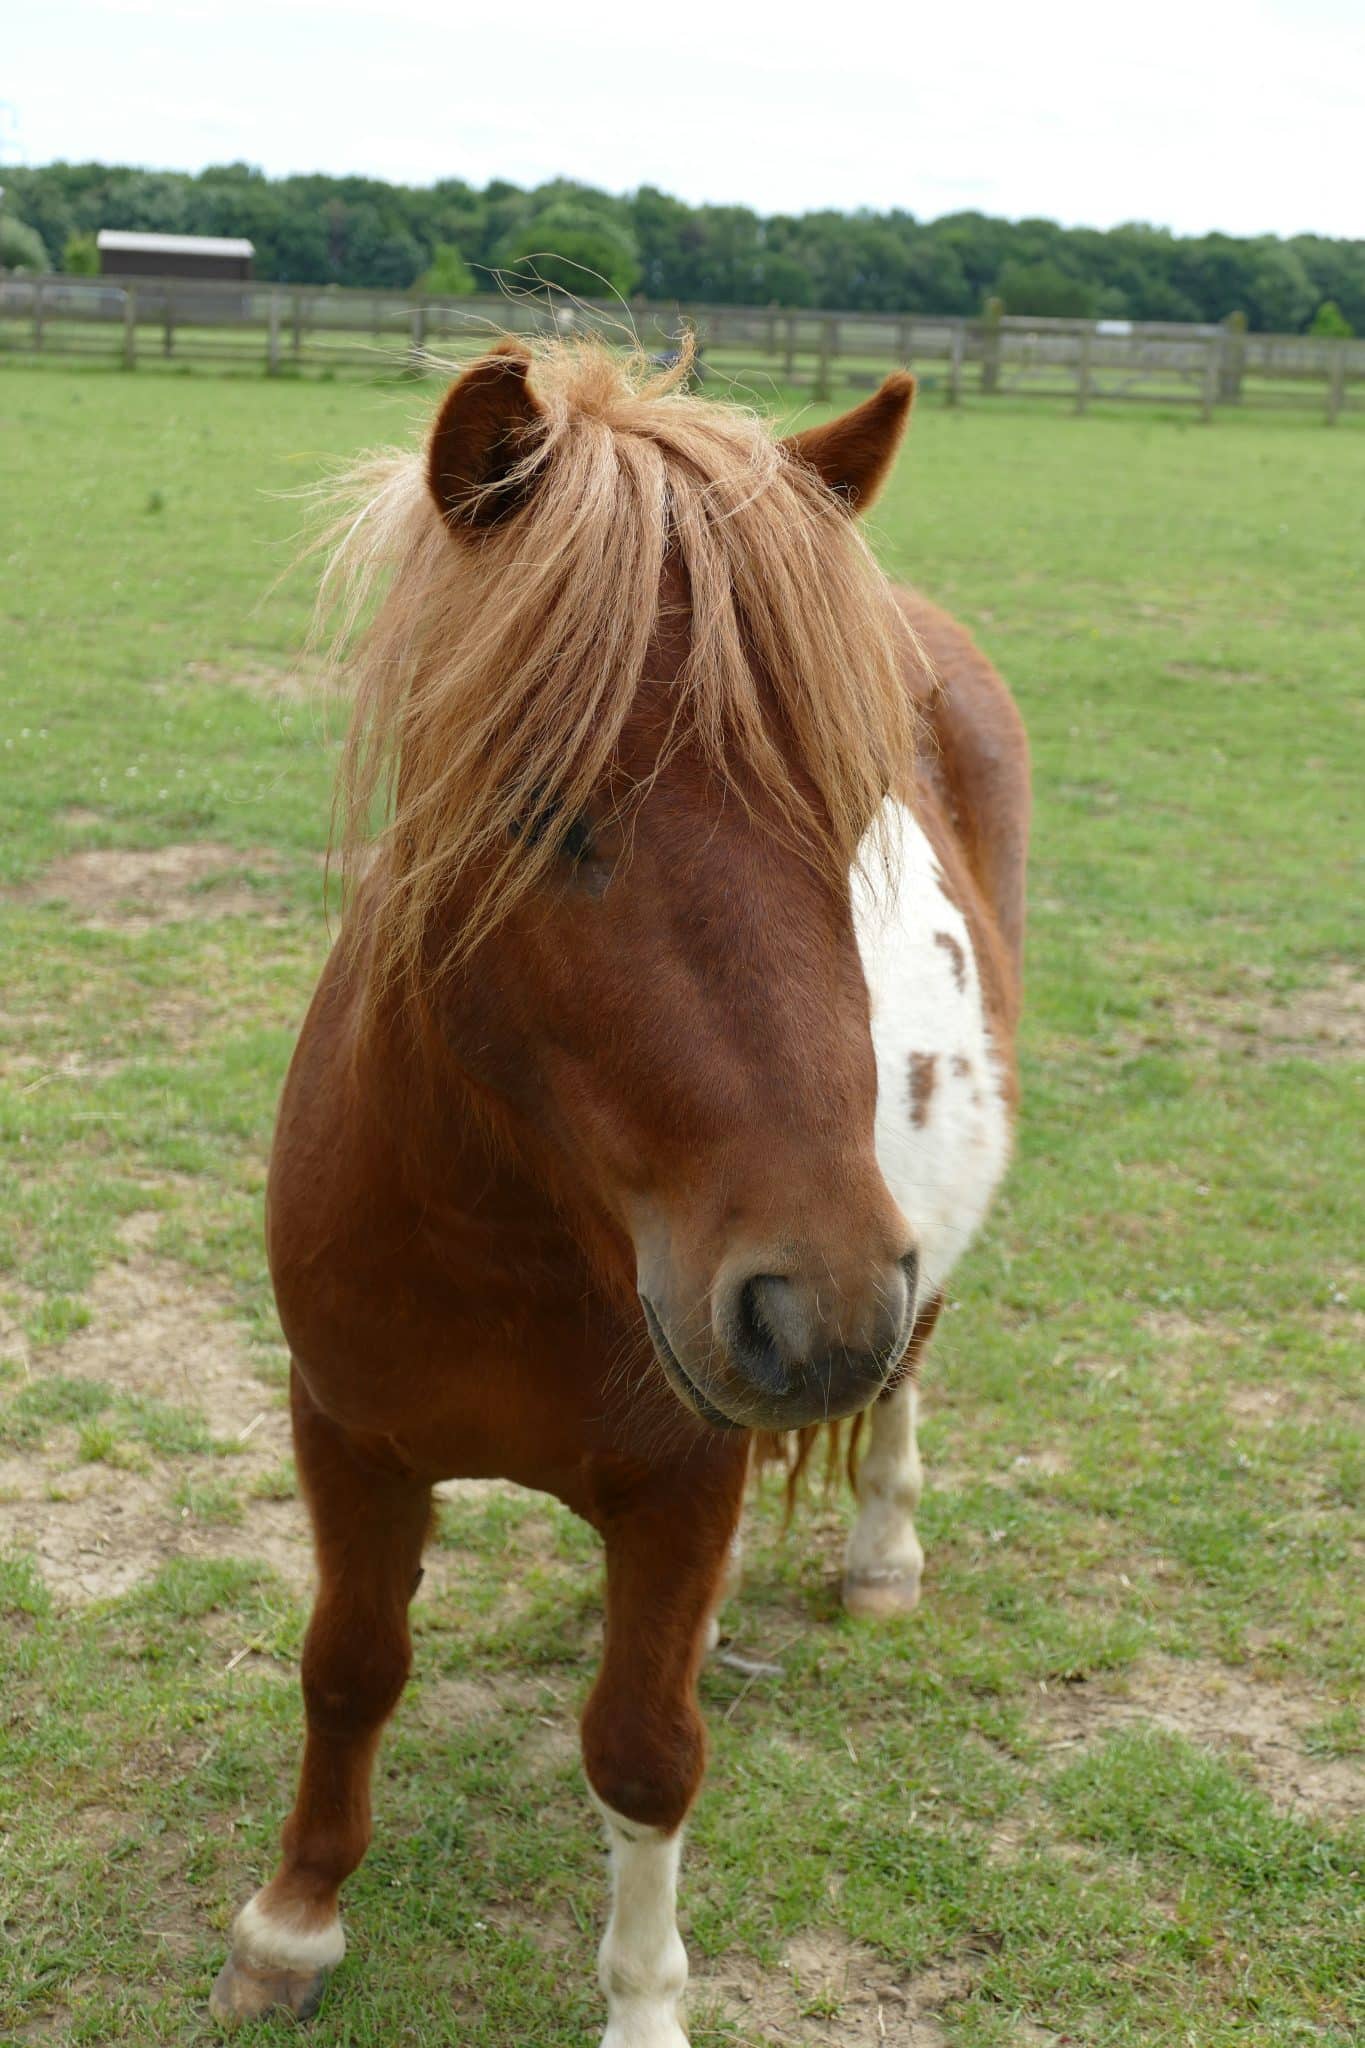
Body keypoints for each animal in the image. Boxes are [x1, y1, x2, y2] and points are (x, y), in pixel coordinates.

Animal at [210, 344, 1023, 2039]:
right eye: (536, 806)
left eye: (856, 812)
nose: (815, 1308)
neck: (506, 1235)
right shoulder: (345, 1432)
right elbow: (349, 1663)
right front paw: (293, 1920)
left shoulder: (685, 1474)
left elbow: (644, 1755)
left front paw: (644, 2003)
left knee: (913, 1376)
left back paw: (883, 1557)